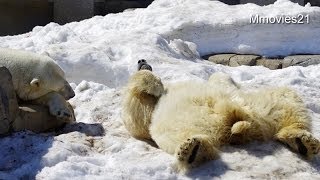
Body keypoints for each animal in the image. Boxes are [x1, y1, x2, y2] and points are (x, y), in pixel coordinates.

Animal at [122, 63, 320, 172]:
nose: (142, 60)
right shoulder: (147, 111)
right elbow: (138, 120)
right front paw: (153, 83)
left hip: (263, 105)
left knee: (288, 98)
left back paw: (303, 141)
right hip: (177, 125)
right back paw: (192, 151)